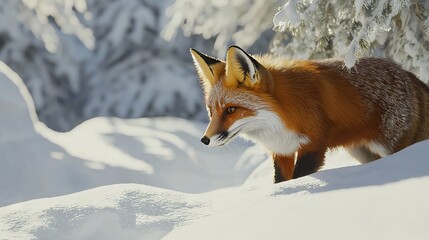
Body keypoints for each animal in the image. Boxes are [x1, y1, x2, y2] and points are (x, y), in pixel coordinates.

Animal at [190, 46, 428, 183]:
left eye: (231, 110)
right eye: (211, 111)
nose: (204, 140)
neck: (280, 118)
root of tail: (407, 74)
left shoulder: (313, 145)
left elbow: (300, 177)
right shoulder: (282, 150)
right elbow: (281, 181)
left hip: (390, 146)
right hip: (362, 153)